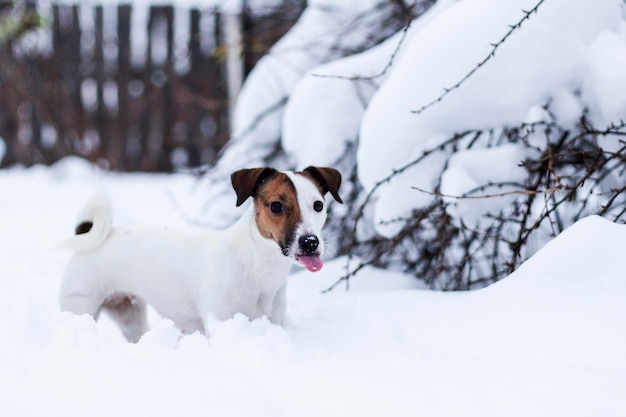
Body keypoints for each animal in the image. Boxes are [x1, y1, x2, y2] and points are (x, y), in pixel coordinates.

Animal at [58, 166, 342, 342]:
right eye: (276, 206)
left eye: (318, 205)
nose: (310, 243)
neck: (257, 269)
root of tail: (90, 235)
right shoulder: (222, 322)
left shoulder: (273, 322)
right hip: (80, 307)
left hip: (129, 314)